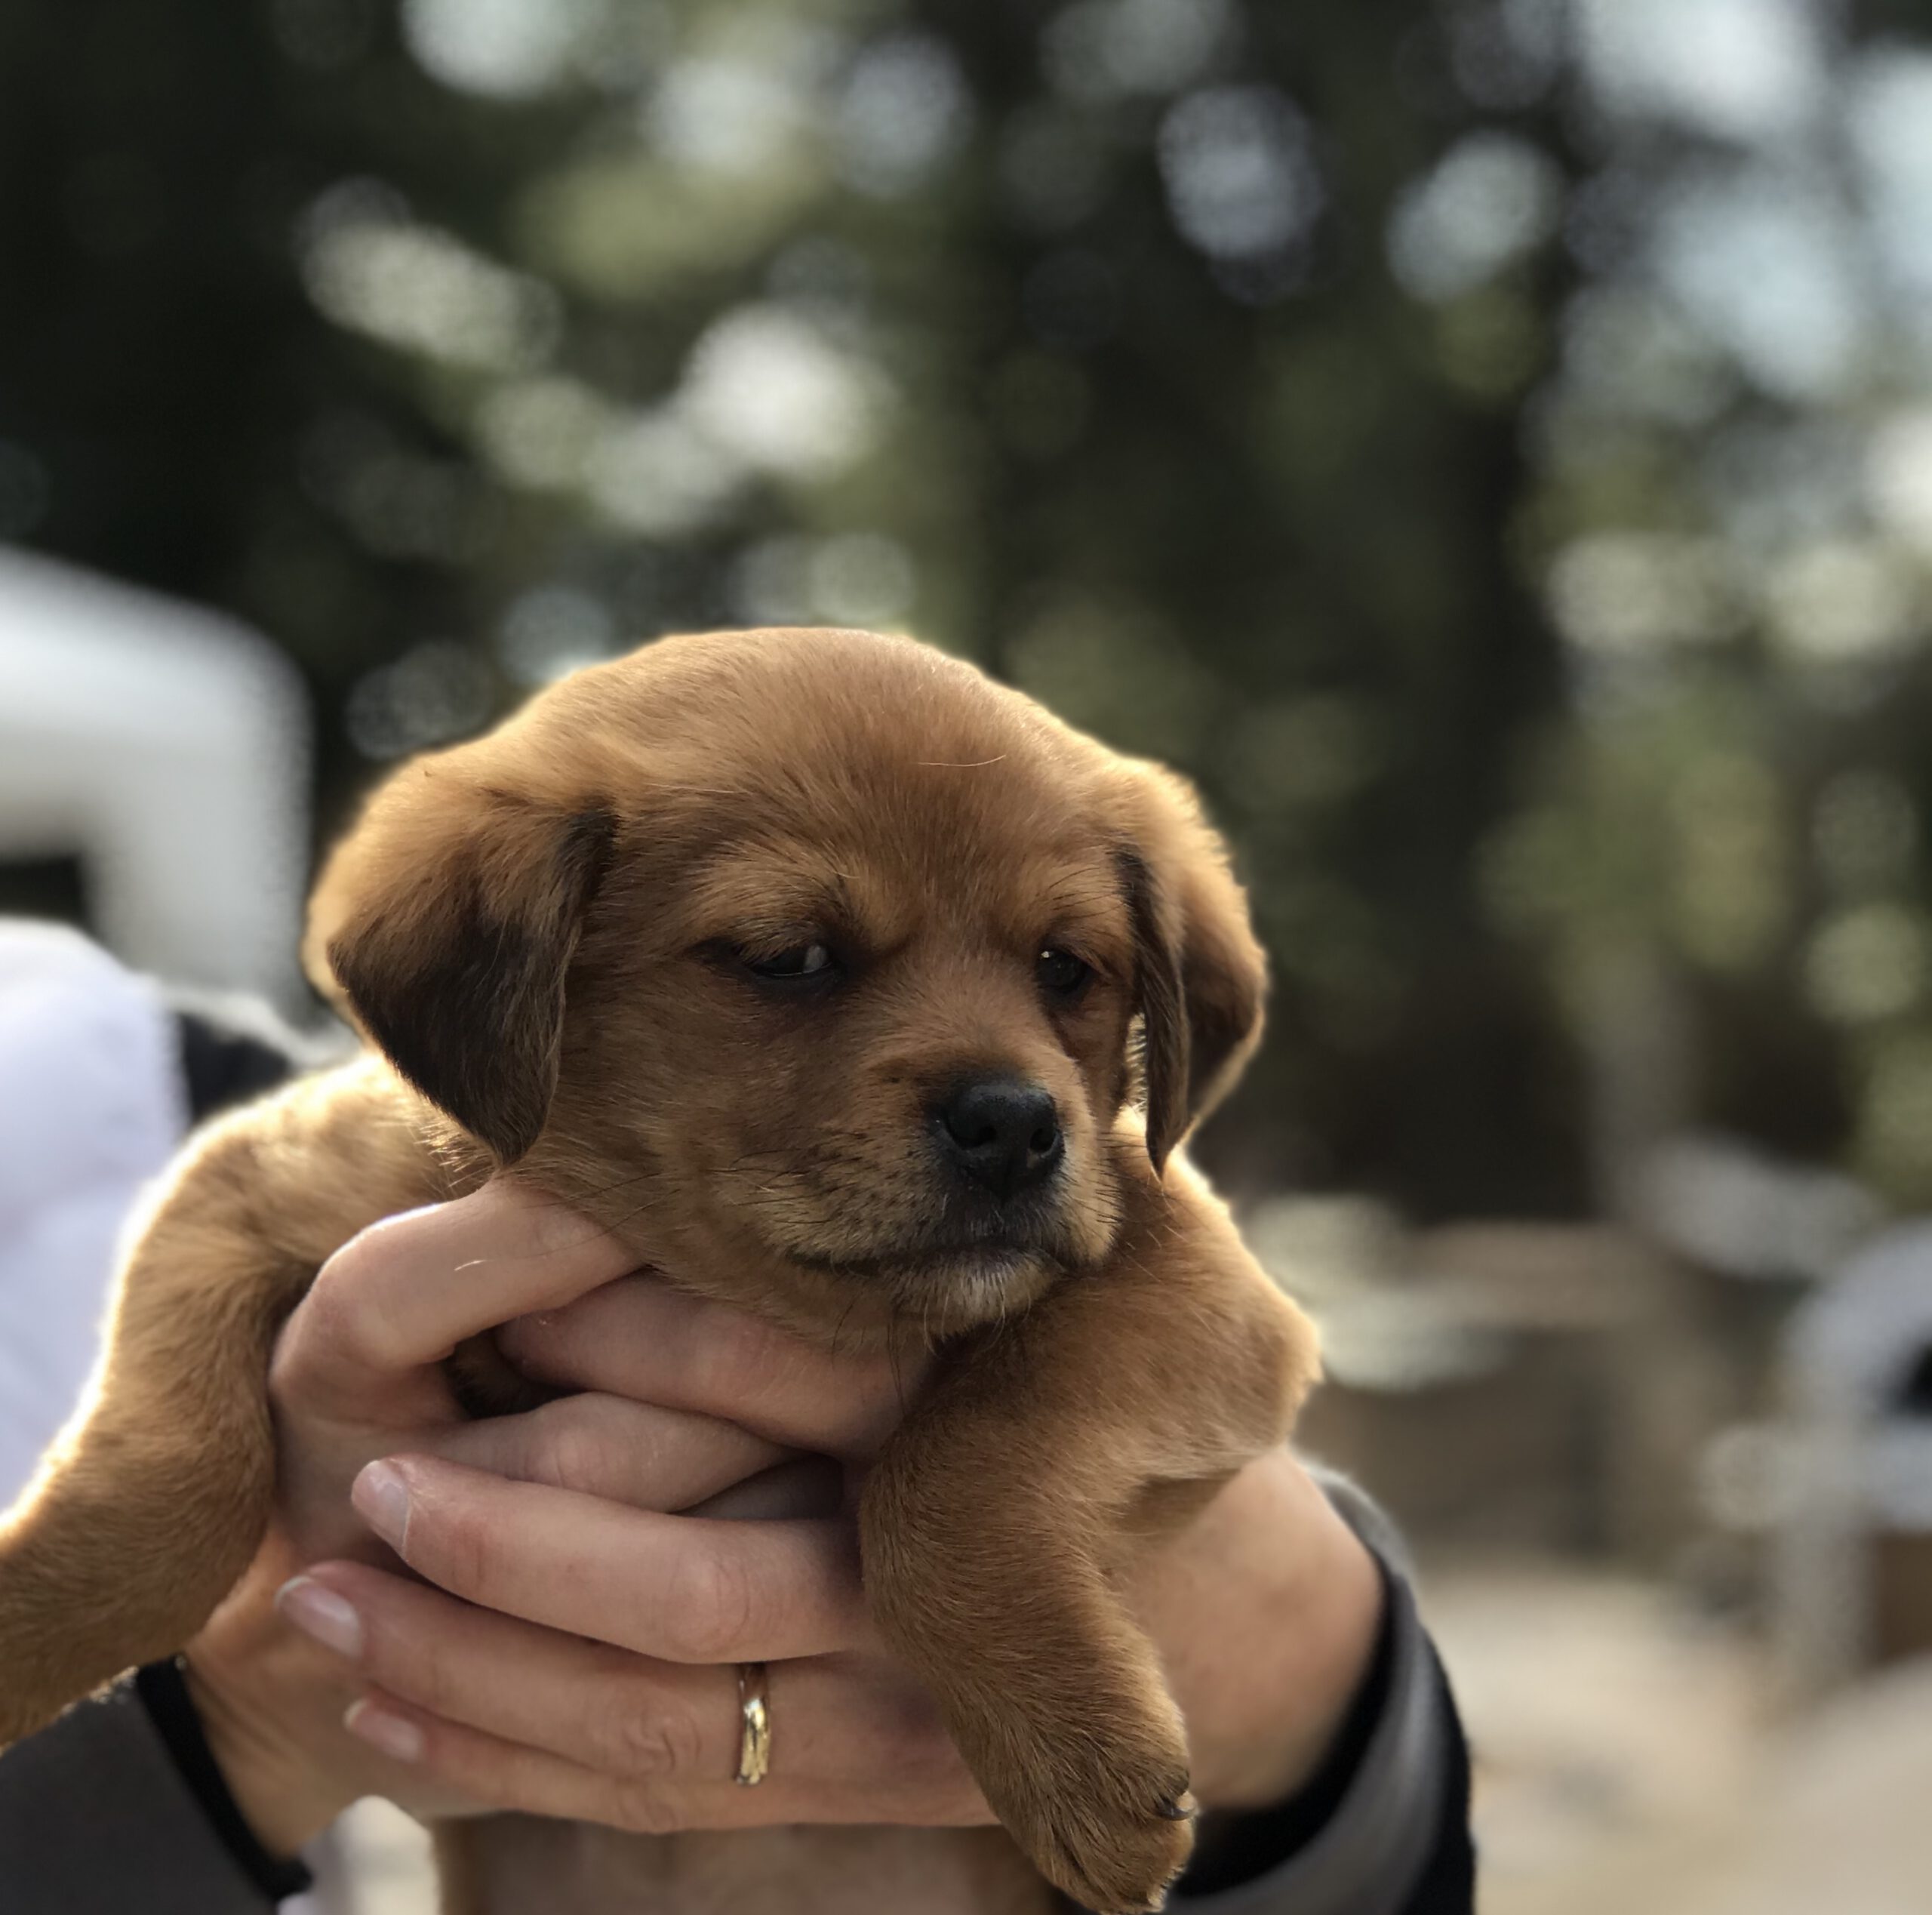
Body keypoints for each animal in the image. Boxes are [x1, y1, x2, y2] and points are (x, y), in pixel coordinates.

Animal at [0, 628, 1317, 1913]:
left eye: (1066, 968)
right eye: (790, 956)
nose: (1018, 1125)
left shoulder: (1198, 1282)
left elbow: (956, 1462)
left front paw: (1071, 1746)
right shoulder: (238, 1190)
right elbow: (166, 1472)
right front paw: (30, 1621)